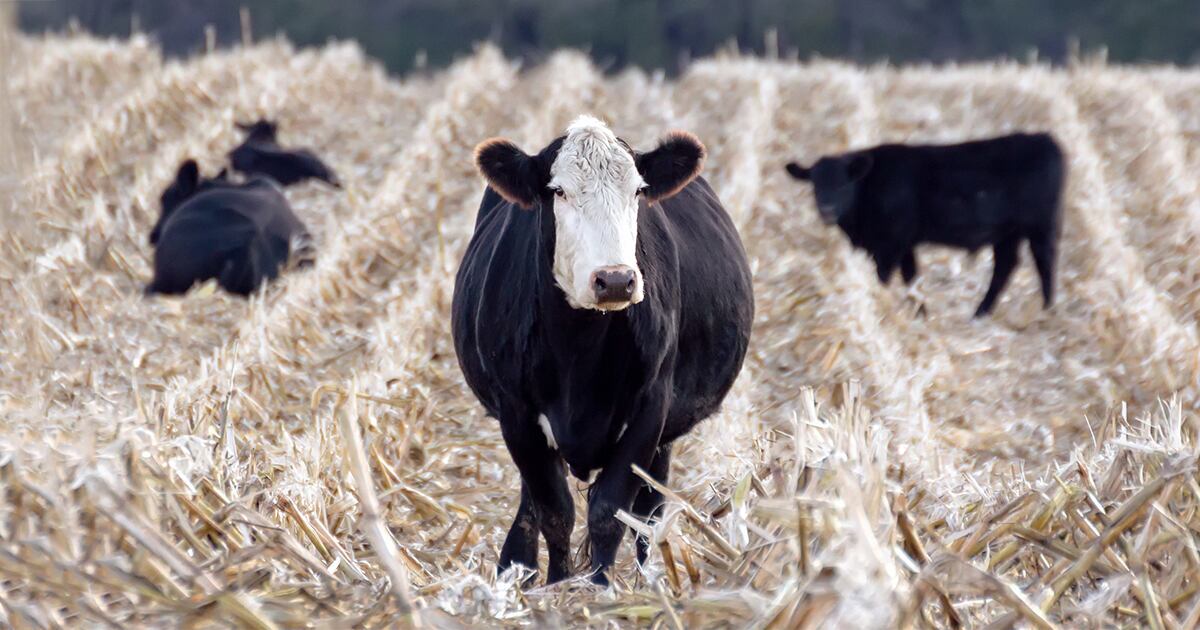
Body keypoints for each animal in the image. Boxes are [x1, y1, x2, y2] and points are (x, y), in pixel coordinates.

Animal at [452, 116, 754, 586]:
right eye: (558, 191)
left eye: (638, 191)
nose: (614, 280)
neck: (579, 351)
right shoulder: (516, 414)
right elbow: (555, 511)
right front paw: (558, 585)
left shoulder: (650, 409)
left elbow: (610, 513)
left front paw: (600, 588)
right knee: (532, 504)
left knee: (649, 510)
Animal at [785, 132, 1065, 317]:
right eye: (814, 185)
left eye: (843, 184)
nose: (827, 210)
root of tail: (1044, 138)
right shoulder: (904, 244)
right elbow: (911, 277)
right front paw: (920, 311)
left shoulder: (890, 244)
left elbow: (884, 277)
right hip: (1007, 232)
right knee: (1005, 266)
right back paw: (982, 312)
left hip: (1040, 226)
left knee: (1044, 261)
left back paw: (1047, 309)